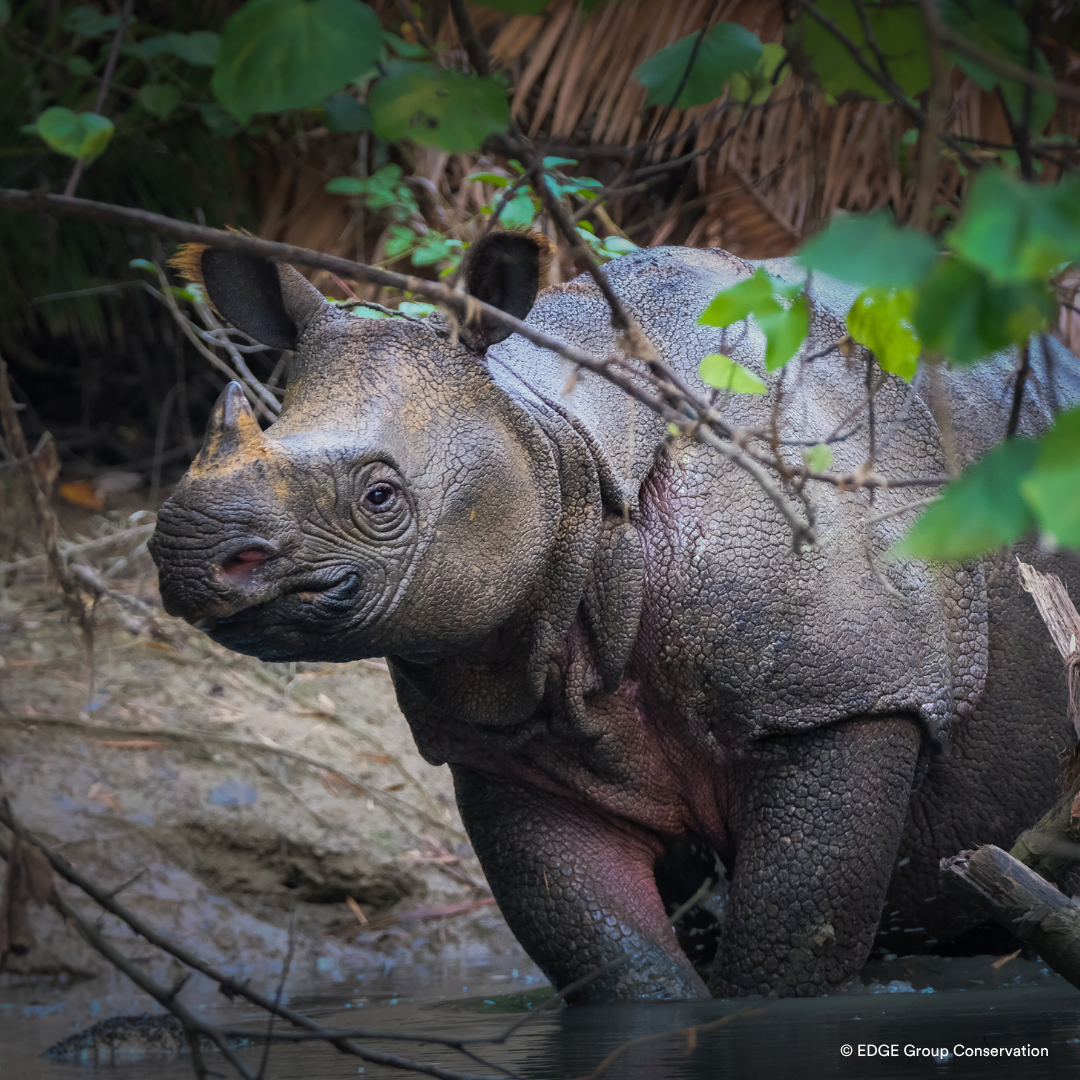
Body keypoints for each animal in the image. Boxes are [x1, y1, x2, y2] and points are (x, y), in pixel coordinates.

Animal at [150, 233, 1080, 1001]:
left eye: (381, 498)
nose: (191, 556)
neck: (552, 443)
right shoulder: (508, 736)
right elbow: (621, 967)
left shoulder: (845, 694)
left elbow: (785, 961)